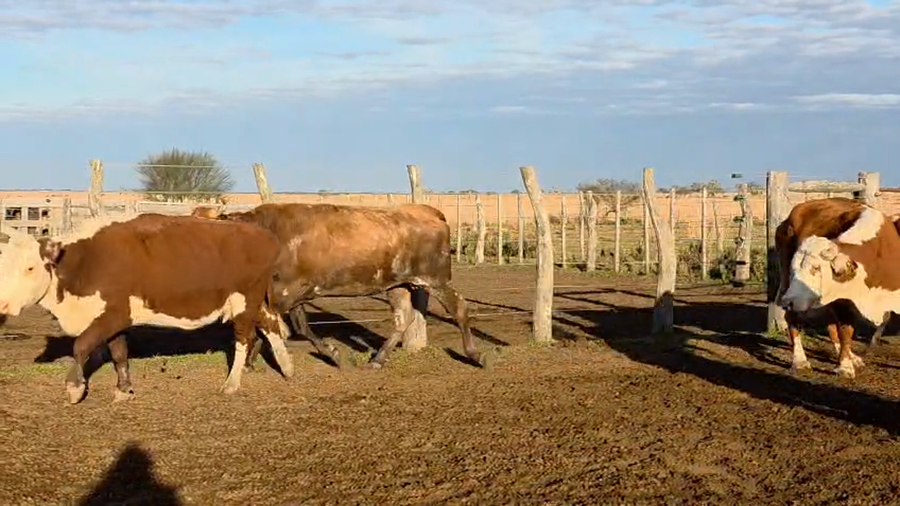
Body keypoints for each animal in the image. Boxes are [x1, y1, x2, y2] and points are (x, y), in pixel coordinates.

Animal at [0, 213, 294, 405]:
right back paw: (287, 368)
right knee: (271, 322)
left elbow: (81, 346)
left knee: (245, 338)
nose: (3, 303)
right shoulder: (115, 320)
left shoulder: (113, 315)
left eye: (30, 268)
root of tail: (264, 235)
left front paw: (75, 388)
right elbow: (119, 353)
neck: (87, 261)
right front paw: (124, 389)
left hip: (245, 301)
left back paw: (232, 383)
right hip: (251, 303)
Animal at [191, 202, 487, 370]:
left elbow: (284, 327)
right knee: (403, 319)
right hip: (397, 284)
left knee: (459, 309)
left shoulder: (287, 291)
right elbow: (294, 326)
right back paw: (377, 360)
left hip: (436, 279)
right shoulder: (287, 295)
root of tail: (426, 211)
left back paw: (475, 355)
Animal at [774, 197, 896, 376]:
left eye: (816, 268)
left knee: (831, 324)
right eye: (793, 269)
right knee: (794, 318)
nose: (787, 300)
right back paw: (800, 361)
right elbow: (846, 330)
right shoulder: (843, 300)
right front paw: (845, 367)